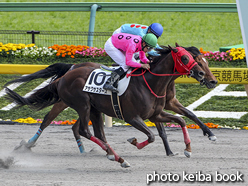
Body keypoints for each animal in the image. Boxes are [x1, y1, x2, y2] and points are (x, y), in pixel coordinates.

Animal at [5, 45, 207, 167]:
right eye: (185, 58)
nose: (202, 74)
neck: (149, 82)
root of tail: (64, 77)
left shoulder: (155, 114)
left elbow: (180, 120)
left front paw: (188, 149)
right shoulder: (132, 117)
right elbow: (151, 136)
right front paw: (134, 142)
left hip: (94, 109)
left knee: (95, 133)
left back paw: (112, 155)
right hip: (82, 104)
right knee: (82, 130)